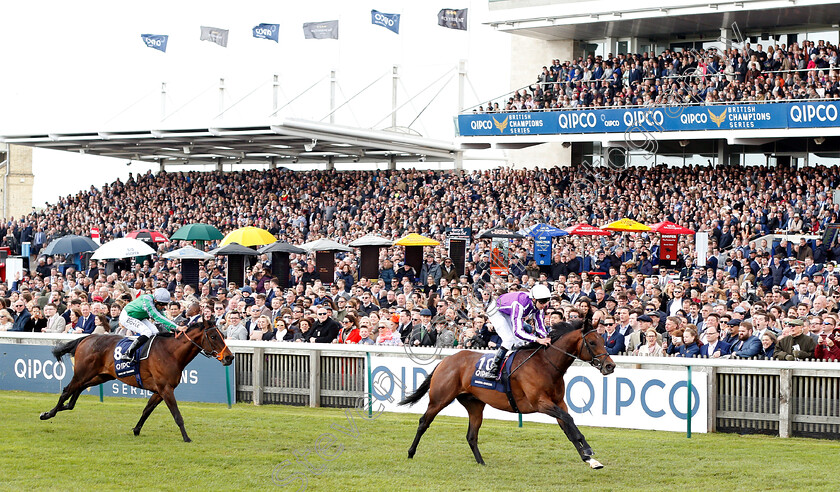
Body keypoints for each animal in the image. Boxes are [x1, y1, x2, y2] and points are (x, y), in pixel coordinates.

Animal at [39, 320, 233, 442]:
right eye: (214, 337)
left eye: (222, 334)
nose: (229, 357)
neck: (171, 353)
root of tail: (87, 337)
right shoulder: (166, 389)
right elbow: (177, 415)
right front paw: (186, 438)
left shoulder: (159, 391)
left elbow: (147, 410)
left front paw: (136, 429)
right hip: (82, 373)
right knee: (67, 390)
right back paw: (47, 414)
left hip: (101, 375)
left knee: (77, 390)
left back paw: (63, 408)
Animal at [400, 320, 616, 468]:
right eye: (592, 342)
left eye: (603, 340)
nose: (610, 366)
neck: (546, 365)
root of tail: (445, 360)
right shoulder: (540, 403)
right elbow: (569, 420)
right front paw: (587, 450)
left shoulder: (558, 403)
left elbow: (569, 427)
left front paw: (590, 459)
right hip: (440, 399)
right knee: (424, 422)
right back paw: (410, 453)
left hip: (474, 405)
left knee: (471, 436)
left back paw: (481, 462)